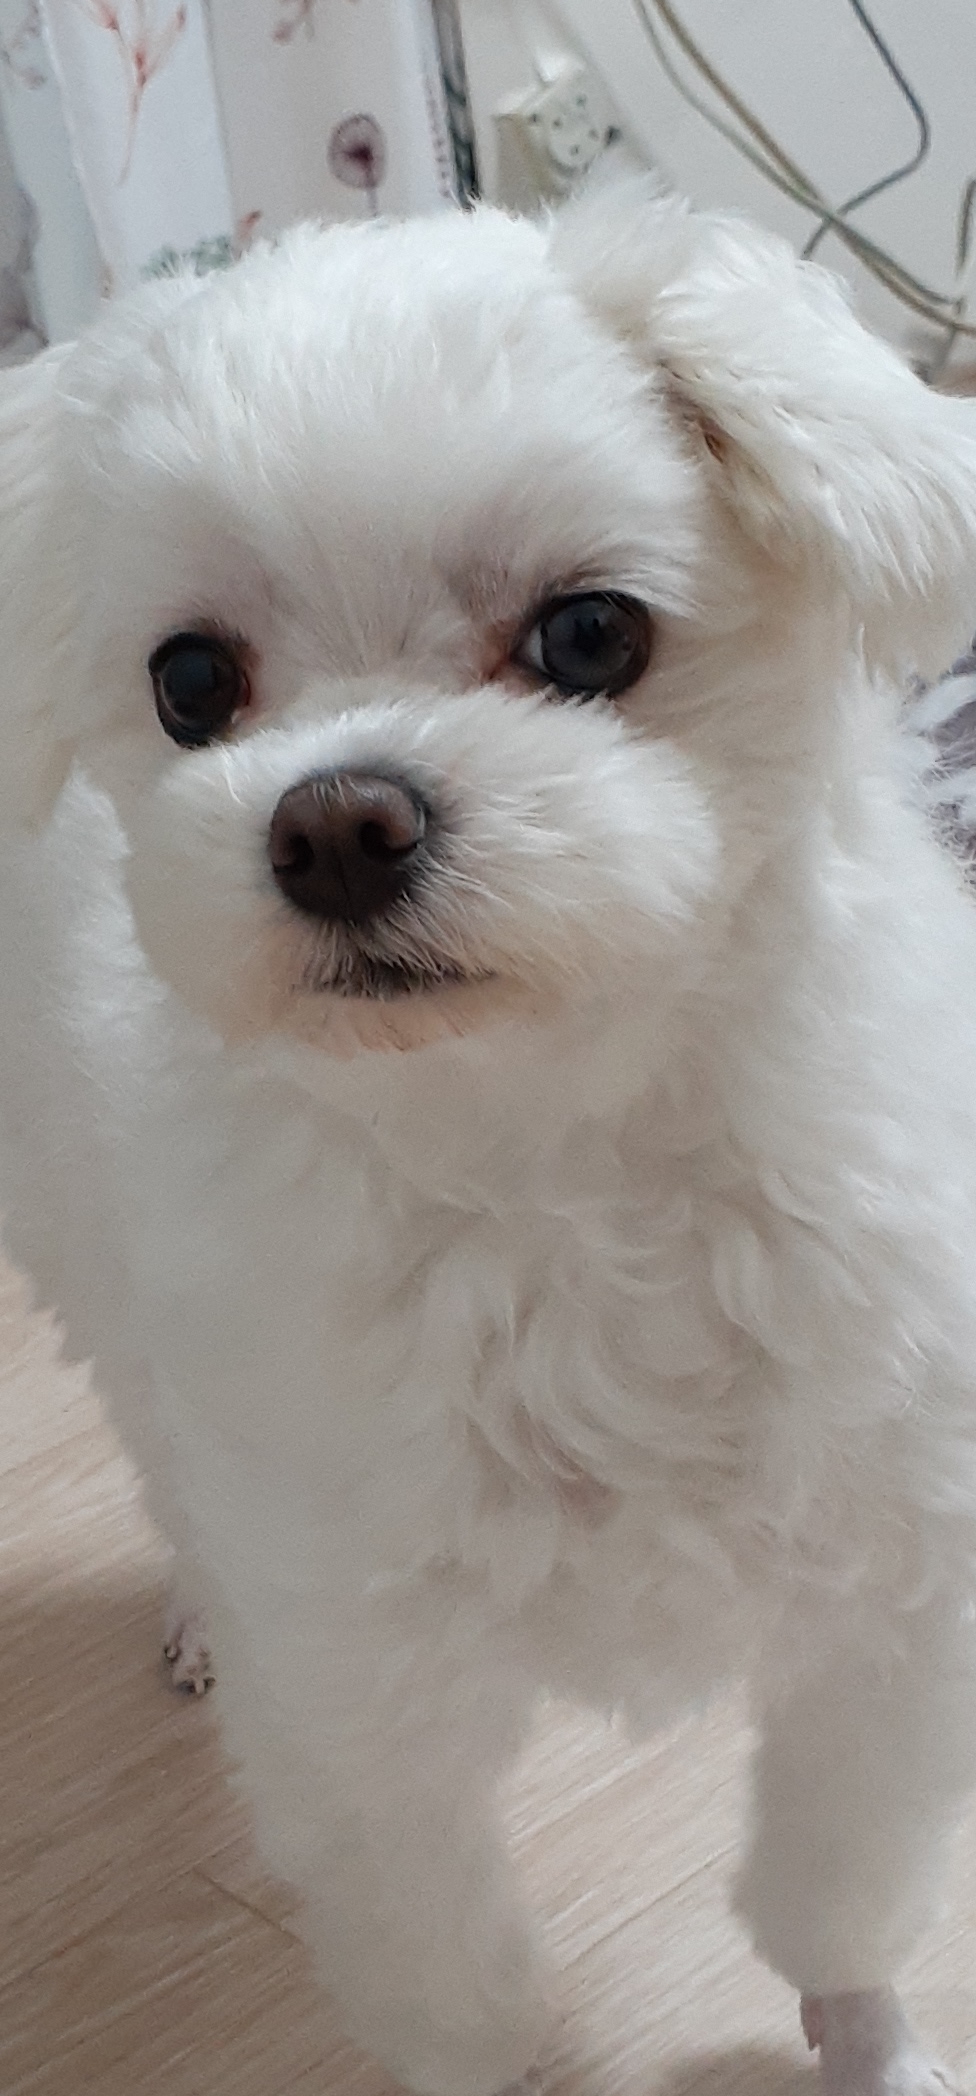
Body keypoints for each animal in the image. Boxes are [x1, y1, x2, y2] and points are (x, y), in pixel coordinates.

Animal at [3, 180, 976, 2096]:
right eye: (188, 681)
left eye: (591, 635)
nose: (335, 825)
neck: (555, 1155)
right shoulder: (367, 1709)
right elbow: (446, 1975)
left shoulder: (893, 1630)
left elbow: (840, 1891)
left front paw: (870, 2039)